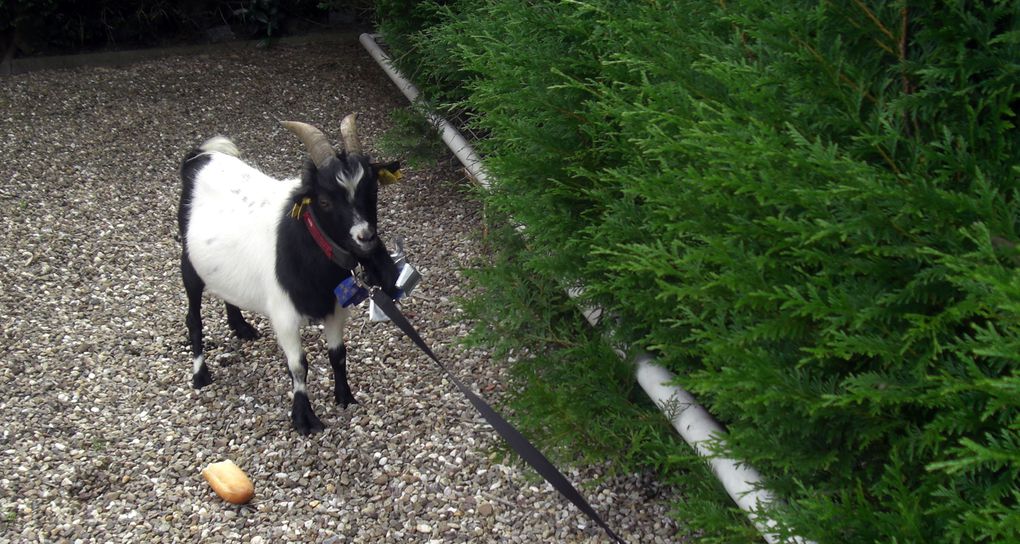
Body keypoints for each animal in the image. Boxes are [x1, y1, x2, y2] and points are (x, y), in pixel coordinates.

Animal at [177, 113, 399, 432]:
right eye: (324, 201)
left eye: (373, 190)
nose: (366, 237)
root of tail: (198, 158)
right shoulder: (283, 315)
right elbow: (298, 365)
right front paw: (304, 417)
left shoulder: (335, 309)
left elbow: (338, 354)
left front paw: (344, 396)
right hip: (189, 263)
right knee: (193, 318)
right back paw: (200, 375)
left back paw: (240, 326)